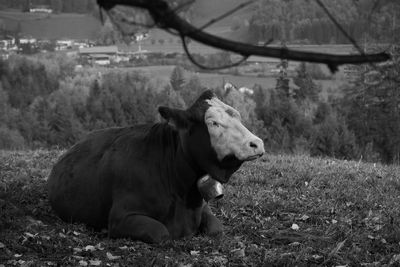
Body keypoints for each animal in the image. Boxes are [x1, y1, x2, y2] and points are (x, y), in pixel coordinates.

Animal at [47, 90, 264, 245]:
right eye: (213, 123)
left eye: (238, 116)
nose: (257, 143)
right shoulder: (121, 217)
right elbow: (161, 233)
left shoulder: (203, 208)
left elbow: (216, 228)